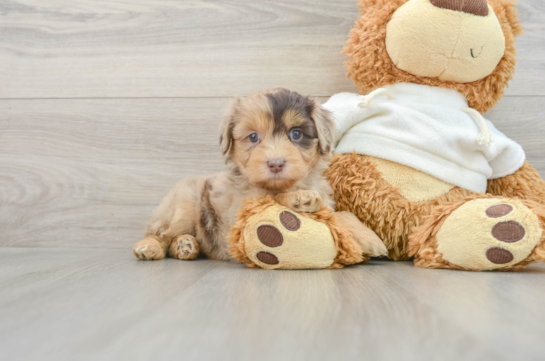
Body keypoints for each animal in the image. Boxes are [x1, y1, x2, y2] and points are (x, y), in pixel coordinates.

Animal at [133, 88, 386, 260]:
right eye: (253, 137)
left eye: (296, 134)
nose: (275, 164)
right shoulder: (239, 214)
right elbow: (271, 199)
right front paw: (300, 198)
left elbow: (342, 214)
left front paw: (369, 238)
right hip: (183, 206)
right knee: (159, 232)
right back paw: (150, 247)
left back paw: (185, 246)